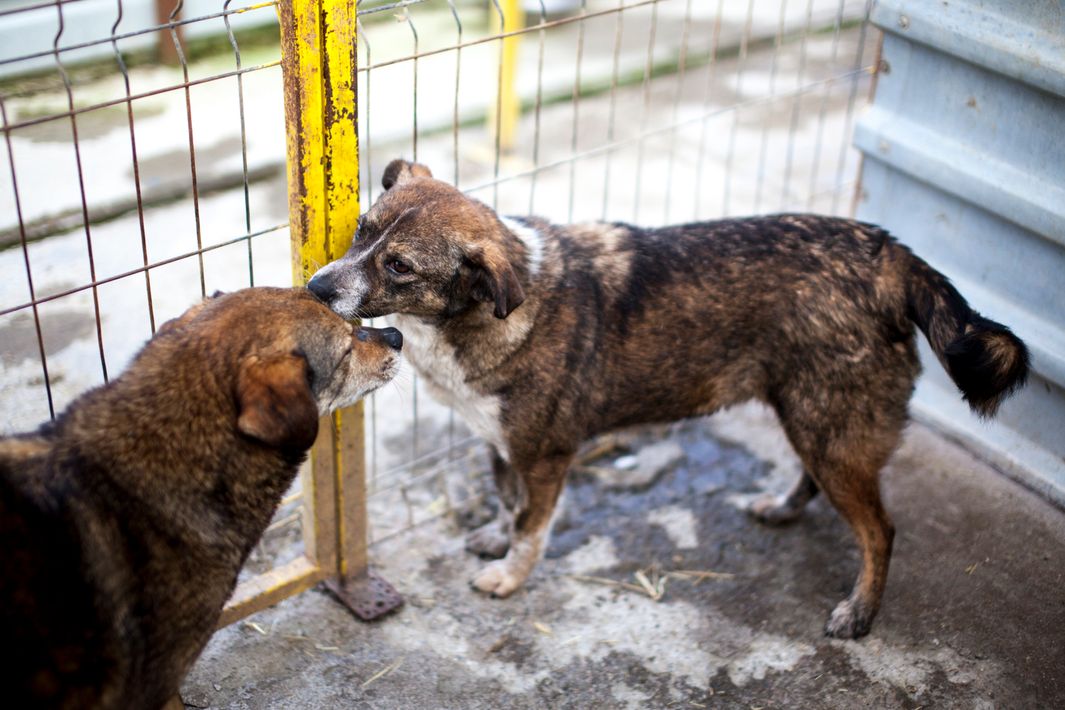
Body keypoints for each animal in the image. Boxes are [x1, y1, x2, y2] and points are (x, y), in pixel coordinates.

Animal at [306, 159, 1028, 638]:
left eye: (399, 266)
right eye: (360, 231)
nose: (315, 287)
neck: (479, 311)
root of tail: (890, 256)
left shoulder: (546, 453)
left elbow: (533, 525)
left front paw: (510, 576)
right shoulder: (501, 443)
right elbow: (509, 507)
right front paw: (495, 539)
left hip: (832, 424)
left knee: (879, 530)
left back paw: (860, 612)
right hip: (811, 413)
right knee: (816, 479)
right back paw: (784, 508)